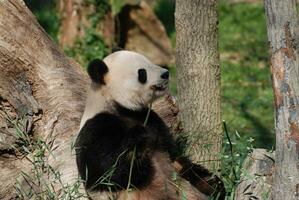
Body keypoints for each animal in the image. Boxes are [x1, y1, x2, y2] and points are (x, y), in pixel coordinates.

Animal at [75, 50, 225, 200]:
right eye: (142, 72)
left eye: (151, 62)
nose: (165, 73)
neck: (120, 107)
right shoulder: (96, 127)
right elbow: (107, 173)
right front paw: (137, 139)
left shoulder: (152, 120)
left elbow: (176, 158)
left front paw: (210, 182)